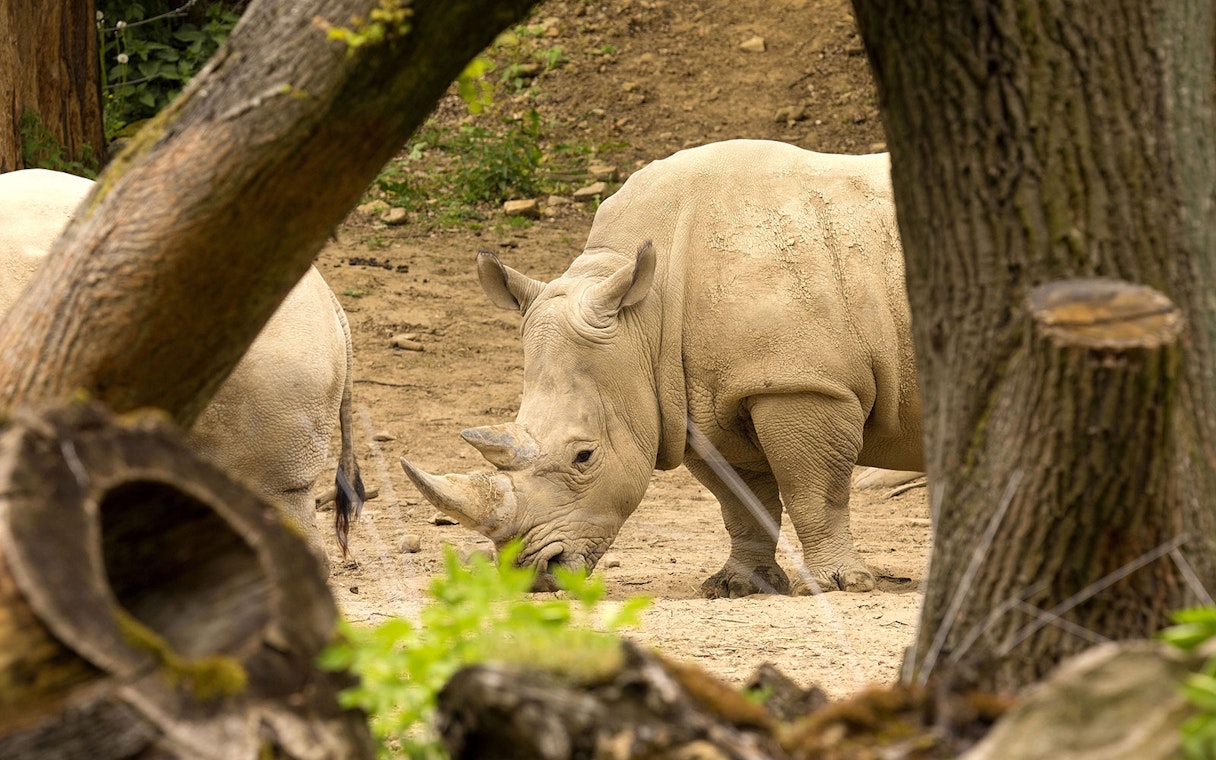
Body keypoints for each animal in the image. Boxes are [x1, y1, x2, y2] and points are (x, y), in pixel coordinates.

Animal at [400, 139, 923, 596]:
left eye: (584, 457)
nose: (538, 575)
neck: (644, 319)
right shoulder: (699, 401)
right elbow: (740, 499)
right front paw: (735, 586)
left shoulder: (802, 383)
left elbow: (815, 492)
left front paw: (841, 584)